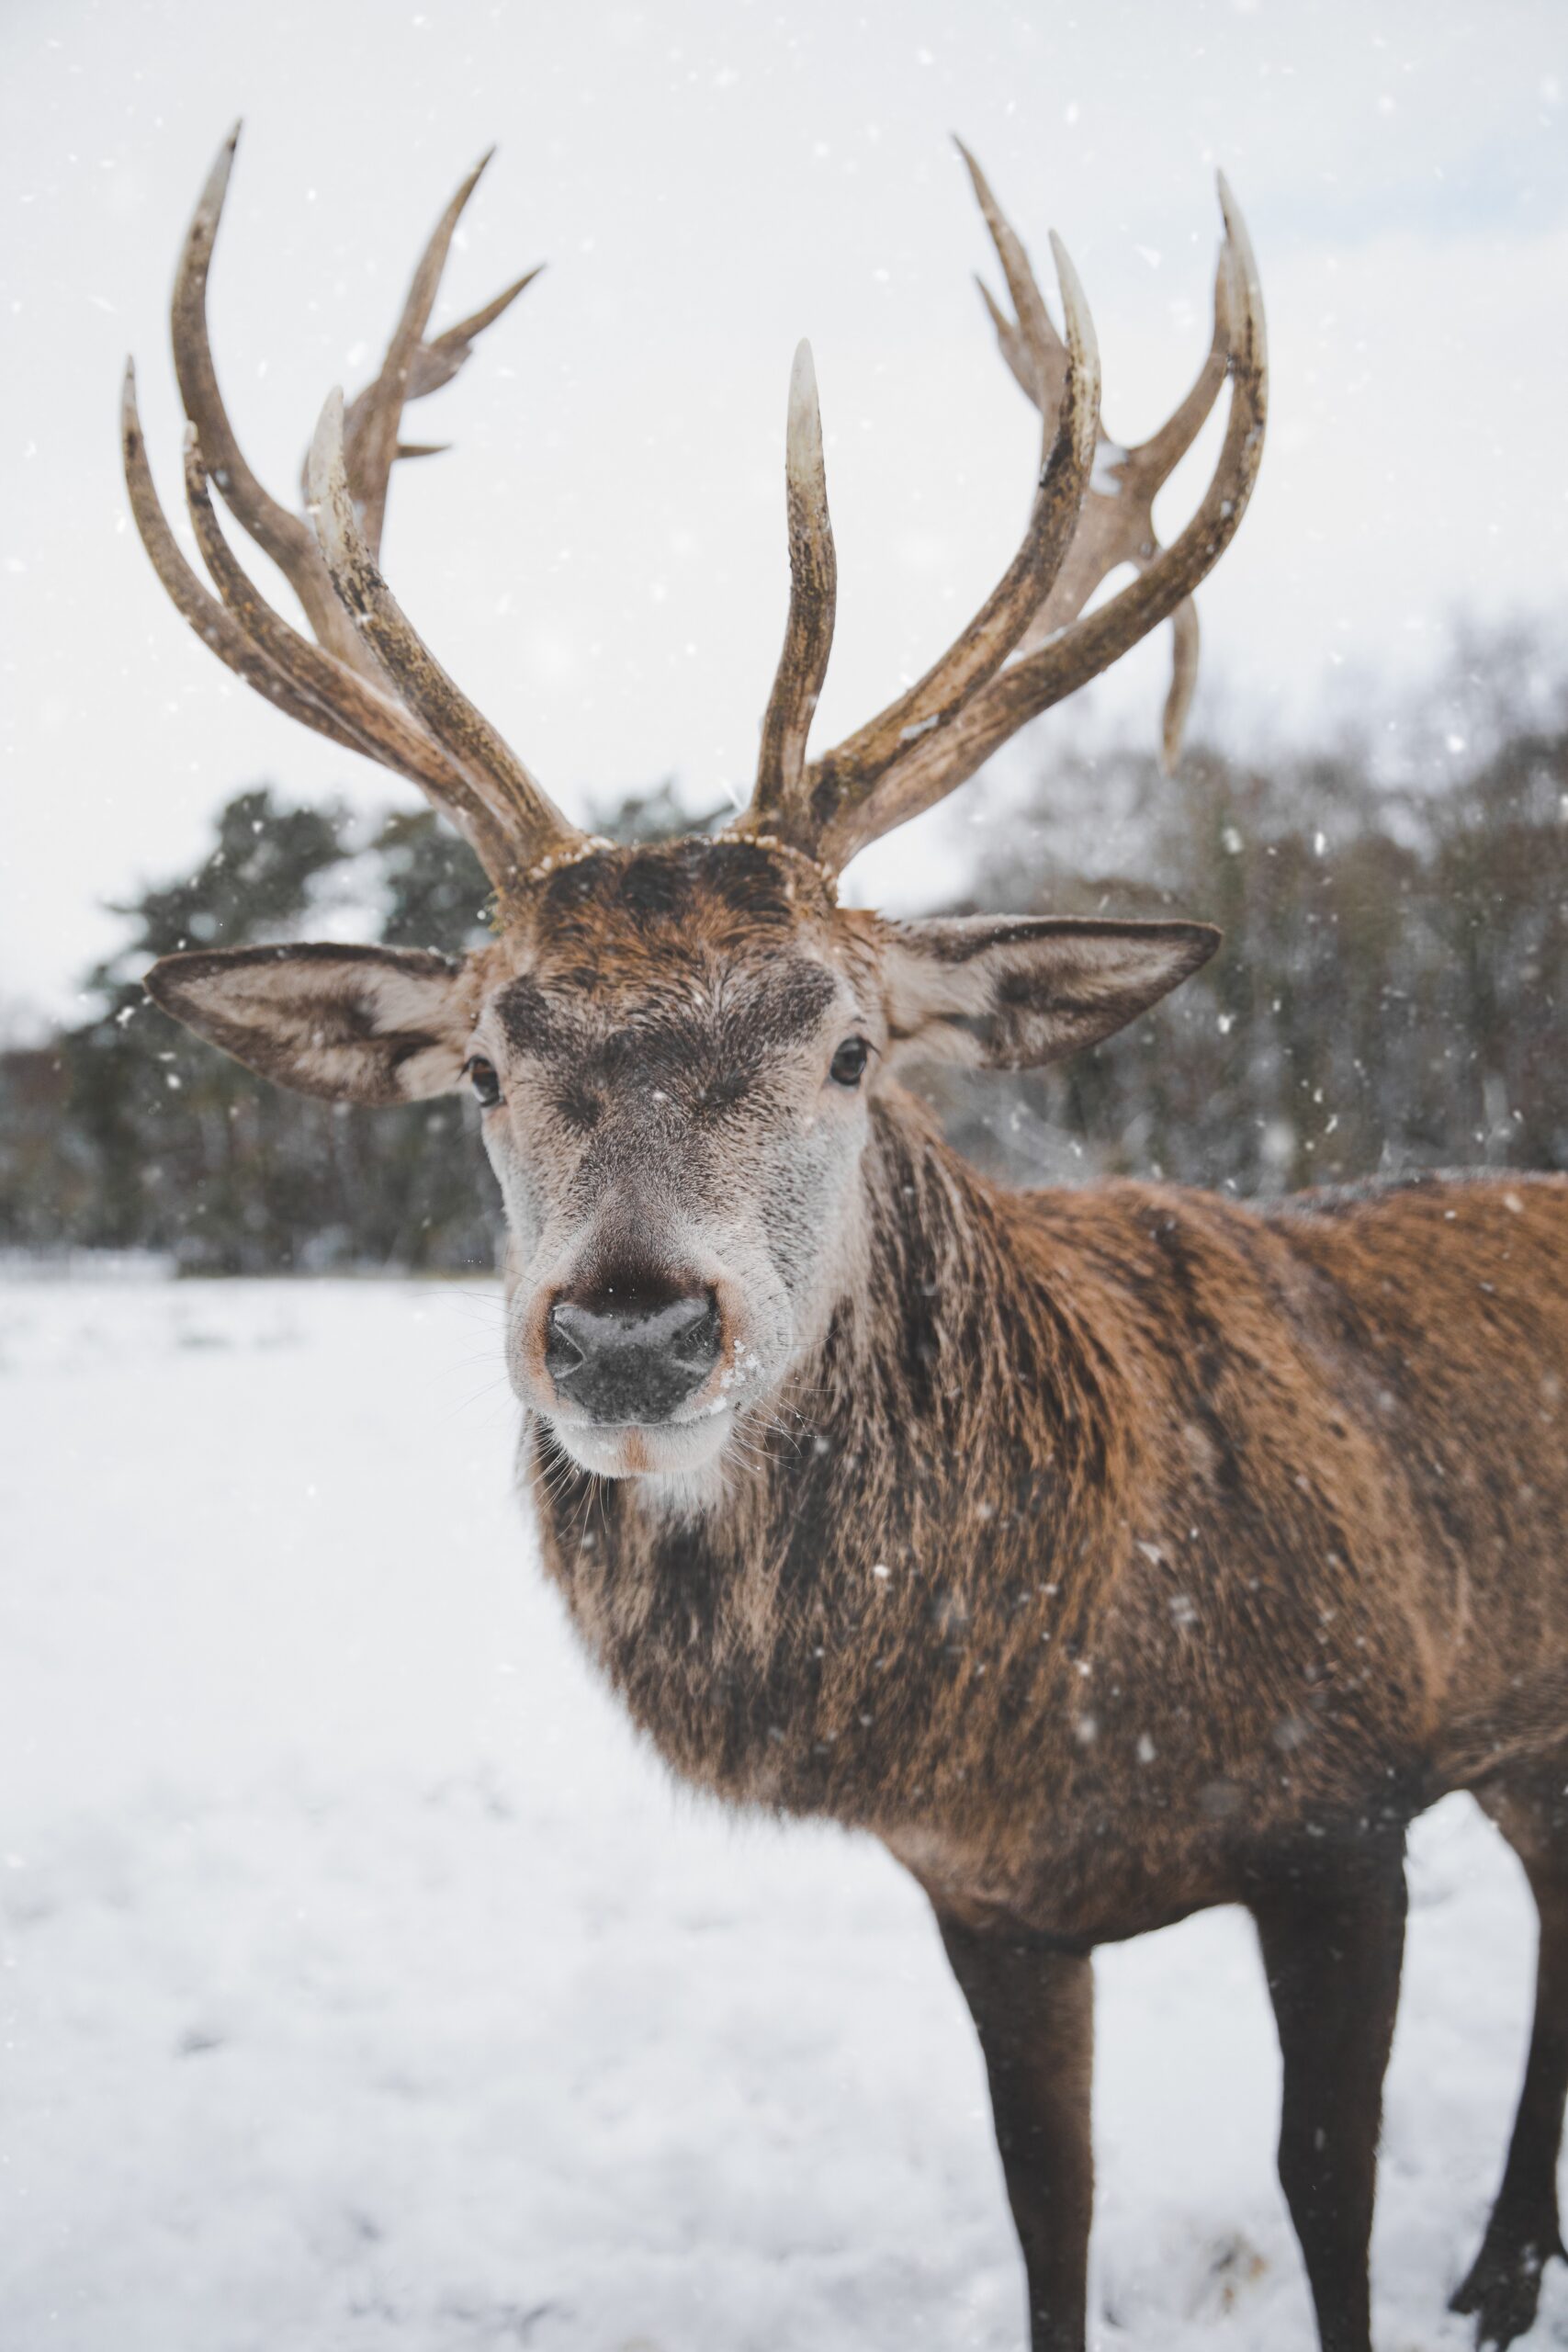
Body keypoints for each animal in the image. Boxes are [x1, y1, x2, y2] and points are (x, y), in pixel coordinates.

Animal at [124, 128, 1568, 2352]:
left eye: (850, 1041)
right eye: (482, 1063)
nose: (629, 1330)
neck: (1065, 1703)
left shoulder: (1346, 1801)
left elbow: (1322, 2200)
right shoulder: (982, 1896)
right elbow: (1046, 2206)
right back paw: (1501, 2263)